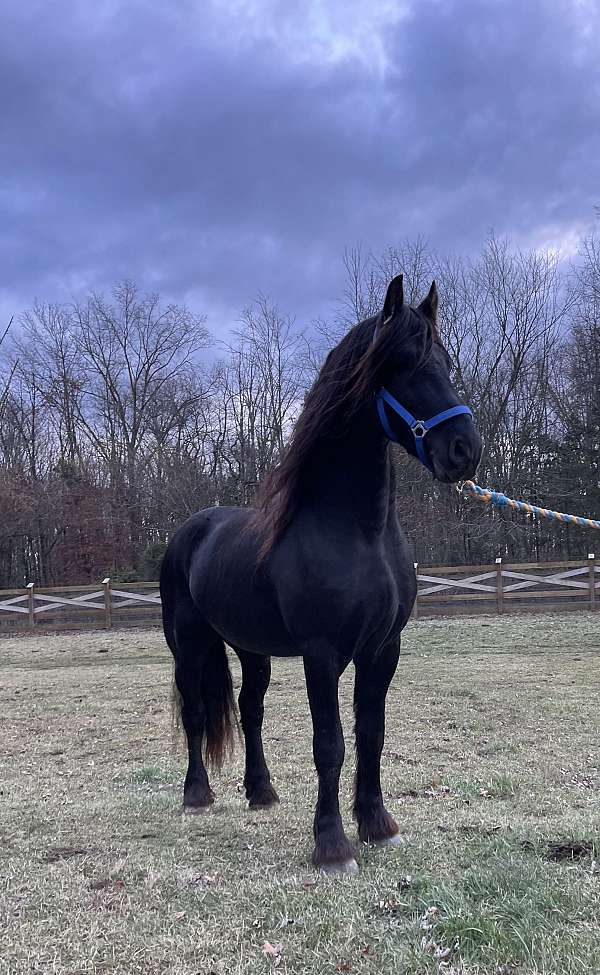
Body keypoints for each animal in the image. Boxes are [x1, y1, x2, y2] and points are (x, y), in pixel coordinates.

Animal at [161, 276, 482, 876]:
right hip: (188, 642)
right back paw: (197, 796)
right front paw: (332, 846)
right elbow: (329, 742)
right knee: (195, 713)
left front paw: (378, 825)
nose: (463, 451)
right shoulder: (322, 651)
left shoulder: (383, 648)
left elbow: (370, 733)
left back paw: (261, 792)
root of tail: (190, 530)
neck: (357, 532)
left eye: (446, 363)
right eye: (403, 366)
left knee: (251, 710)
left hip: (251, 648)